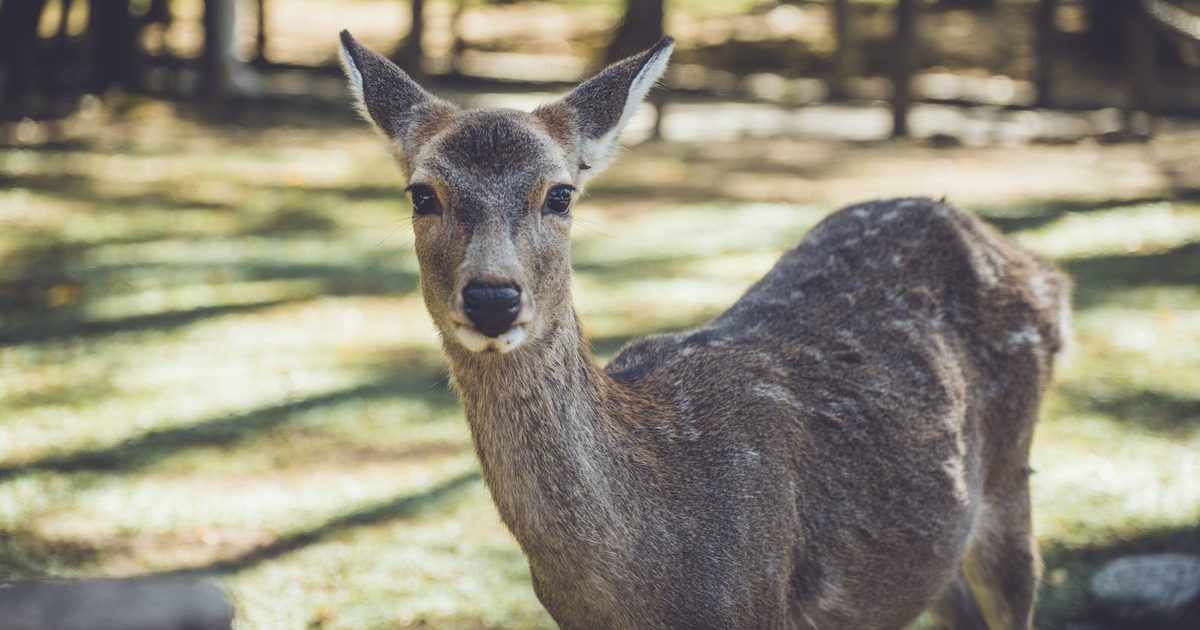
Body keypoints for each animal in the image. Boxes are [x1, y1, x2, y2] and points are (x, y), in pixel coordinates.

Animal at [337, 31, 1070, 630]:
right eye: (422, 194)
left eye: (560, 194)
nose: (493, 297)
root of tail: (1042, 269)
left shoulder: (758, 601)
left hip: (1010, 478)